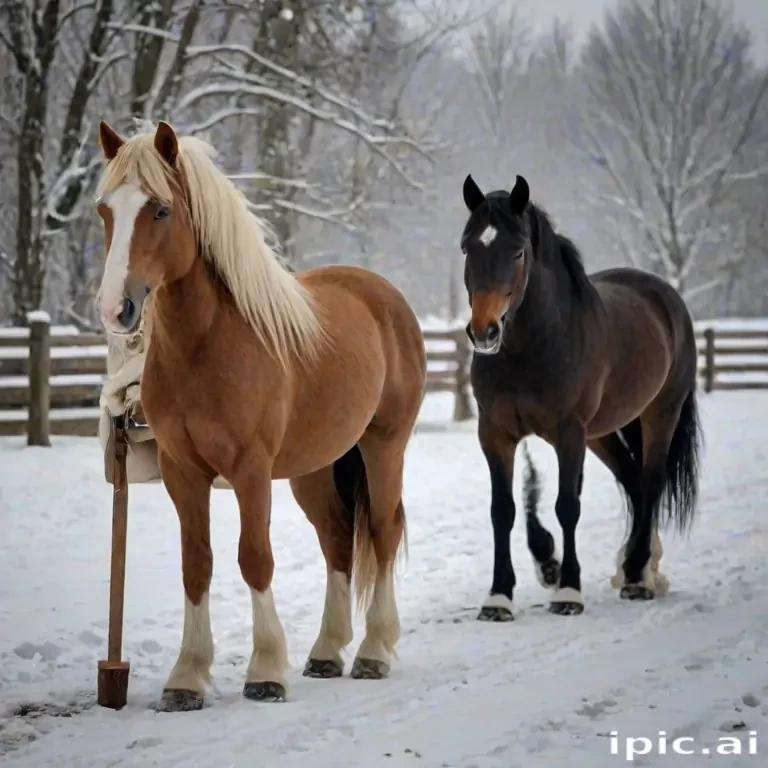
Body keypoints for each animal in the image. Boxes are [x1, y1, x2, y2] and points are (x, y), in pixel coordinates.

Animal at [93, 119, 427, 711]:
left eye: (160, 210)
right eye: (106, 210)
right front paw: (186, 677)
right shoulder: (183, 472)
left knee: (382, 532)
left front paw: (266, 670)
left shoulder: (250, 470)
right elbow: (196, 564)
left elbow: (255, 557)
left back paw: (372, 652)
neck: (209, 344)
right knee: (337, 539)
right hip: (315, 468)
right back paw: (326, 651)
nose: (115, 309)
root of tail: (386, 298)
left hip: (384, 446)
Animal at [459, 173, 701, 621]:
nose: (484, 332)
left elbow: (567, 506)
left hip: (660, 413)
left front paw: (568, 592)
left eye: (517, 251)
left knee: (650, 481)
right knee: (632, 480)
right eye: (468, 247)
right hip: (602, 434)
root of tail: (665, 296)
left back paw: (638, 575)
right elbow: (502, 510)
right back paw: (634, 569)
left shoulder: (569, 433)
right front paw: (498, 598)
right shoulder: (495, 434)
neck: (532, 346)